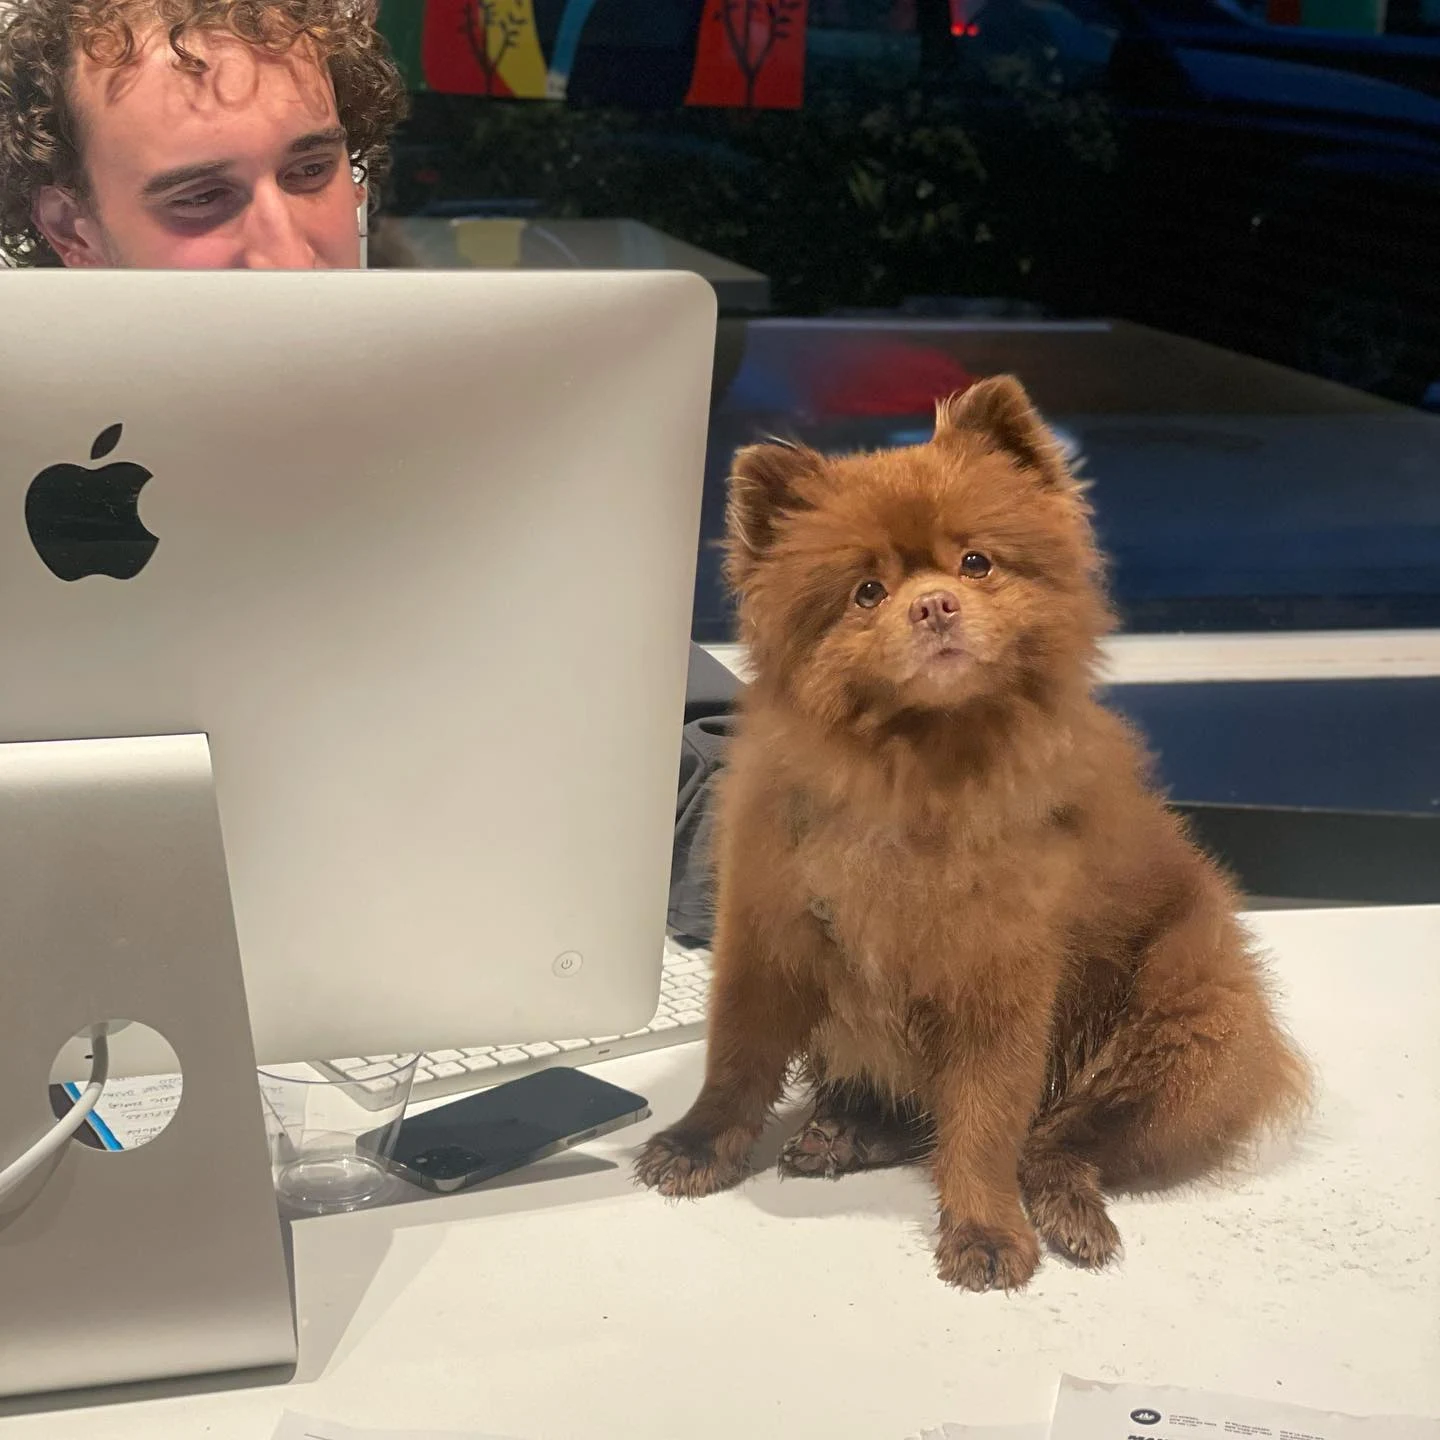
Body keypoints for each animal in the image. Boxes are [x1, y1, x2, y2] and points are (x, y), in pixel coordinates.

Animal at [634, 375, 1310, 1292]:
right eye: (866, 592)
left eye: (976, 562)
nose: (934, 604)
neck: (919, 778)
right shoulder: (769, 936)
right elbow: (736, 1061)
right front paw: (697, 1145)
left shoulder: (1002, 978)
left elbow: (987, 1120)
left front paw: (986, 1230)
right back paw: (844, 1133)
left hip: (1190, 1018)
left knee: (1065, 1137)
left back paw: (1064, 1207)